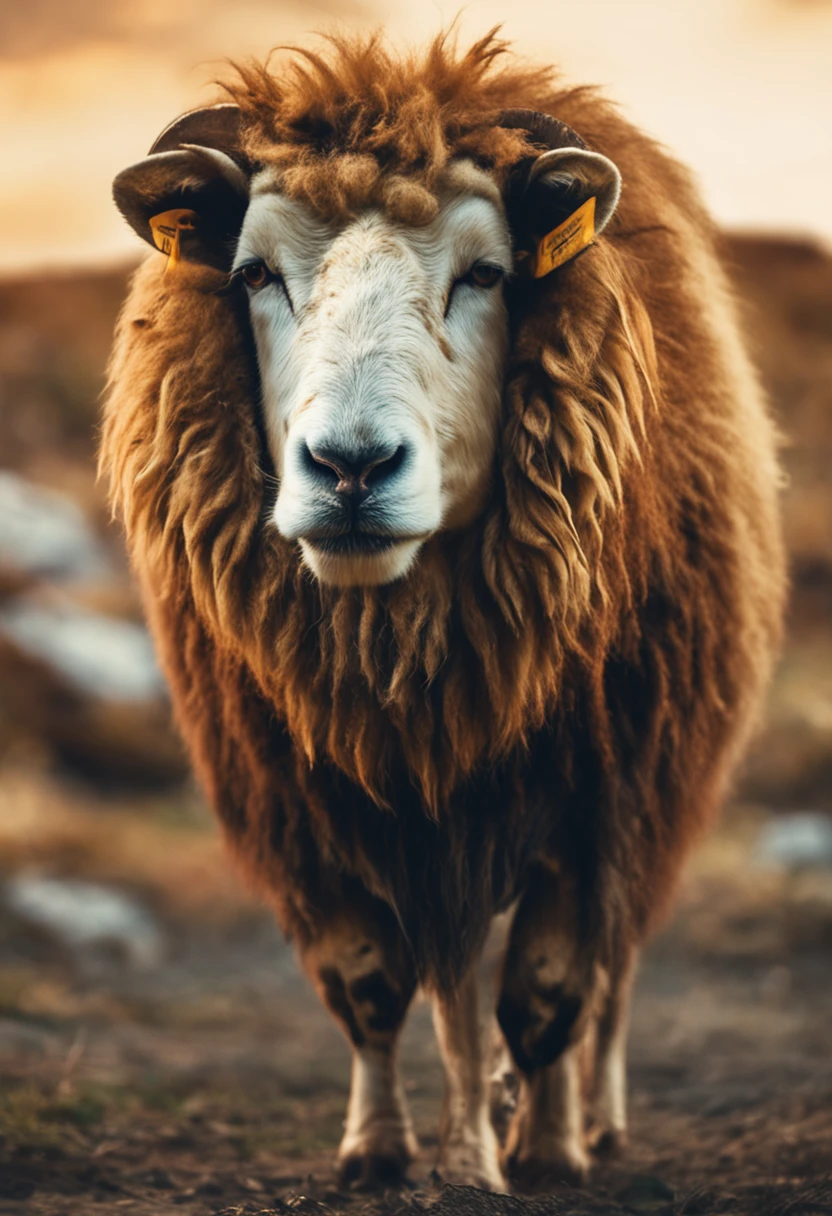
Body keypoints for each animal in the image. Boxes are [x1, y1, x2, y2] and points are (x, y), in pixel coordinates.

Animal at [100, 30, 783, 1196]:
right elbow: (375, 983)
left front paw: (548, 1150)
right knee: (456, 990)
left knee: (608, 978)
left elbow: (551, 992)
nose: (349, 468)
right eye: (253, 273)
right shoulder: (312, 803)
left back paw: (583, 1128)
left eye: (487, 273)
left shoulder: (600, 797)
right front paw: (383, 1151)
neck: (402, 641)